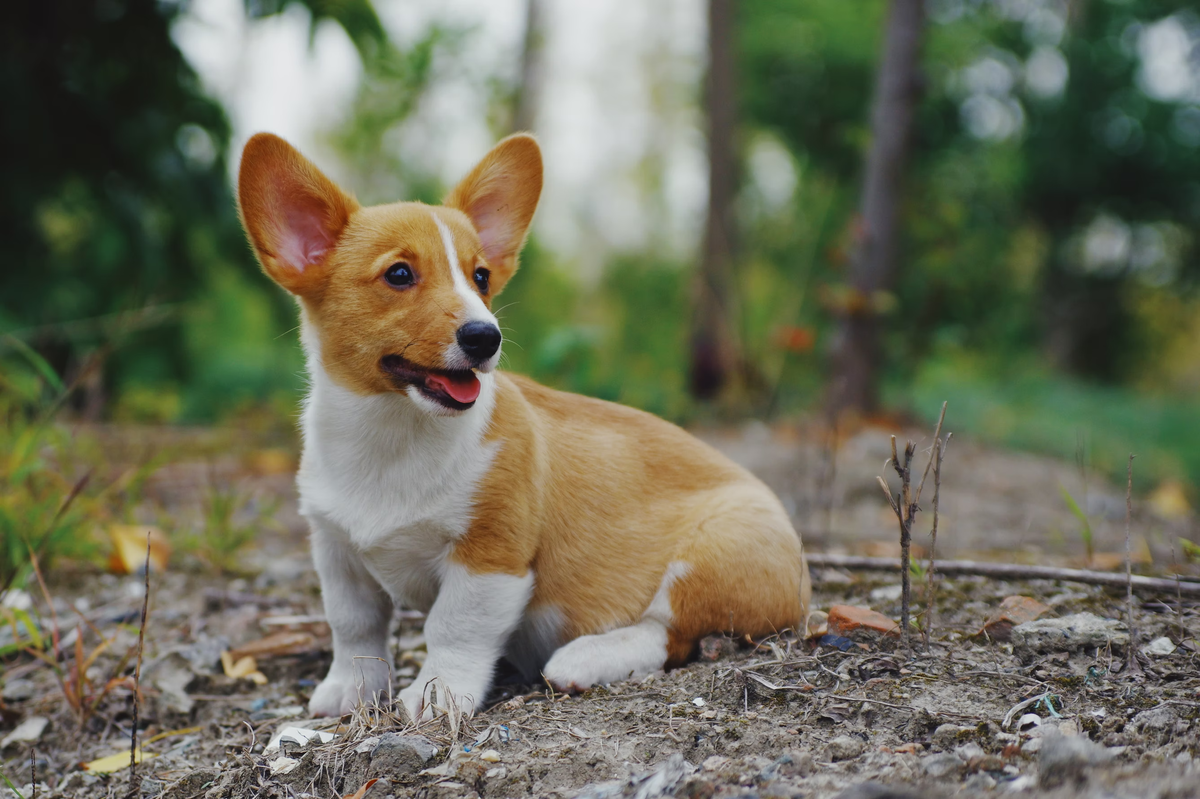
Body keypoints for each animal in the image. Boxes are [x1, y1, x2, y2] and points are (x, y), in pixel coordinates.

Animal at [237, 130, 811, 715]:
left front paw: (436, 697)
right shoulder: (336, 552)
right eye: (399, 274)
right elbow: (354, 625)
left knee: (668, 634)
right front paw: (350, 692)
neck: (393, 431)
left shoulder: (490, 557)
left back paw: (582, 660)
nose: (485, 337)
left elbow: (452, 628)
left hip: (714, 555)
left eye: (481, 277)